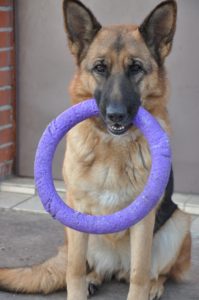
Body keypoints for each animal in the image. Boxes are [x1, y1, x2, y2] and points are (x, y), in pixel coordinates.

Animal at [0, 0, 191, 300]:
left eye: (136, 68)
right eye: (100, 68)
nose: (115, 115)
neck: (113, 147)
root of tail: (116, 265)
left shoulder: (144, 221)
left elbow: (139, 273)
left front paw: (143, 288)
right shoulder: (78, 213)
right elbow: (75, 269)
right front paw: (78, 287)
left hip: (179, 224)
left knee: (153, 271)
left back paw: (154, 285)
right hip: (75, 233)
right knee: (91, 267)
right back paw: (94, 277)